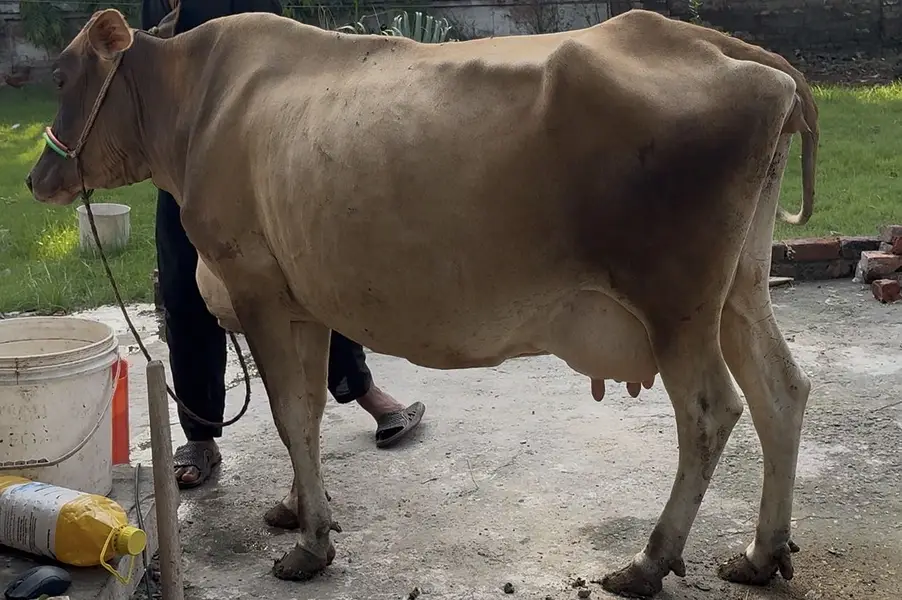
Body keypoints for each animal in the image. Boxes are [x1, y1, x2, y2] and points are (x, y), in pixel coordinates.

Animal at [26, 8, 818, 597]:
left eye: (61, 75)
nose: (34, 179)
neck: (196, 106)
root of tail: (726, 48)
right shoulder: (302, 299)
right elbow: (306, 412)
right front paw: (297, 510)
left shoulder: (254, 285)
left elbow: (289, 415)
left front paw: (311, 545)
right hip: (739, 290)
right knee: (782, 391)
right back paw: (762, 554)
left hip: (675, 301)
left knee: (711, 411)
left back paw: (648, 562)